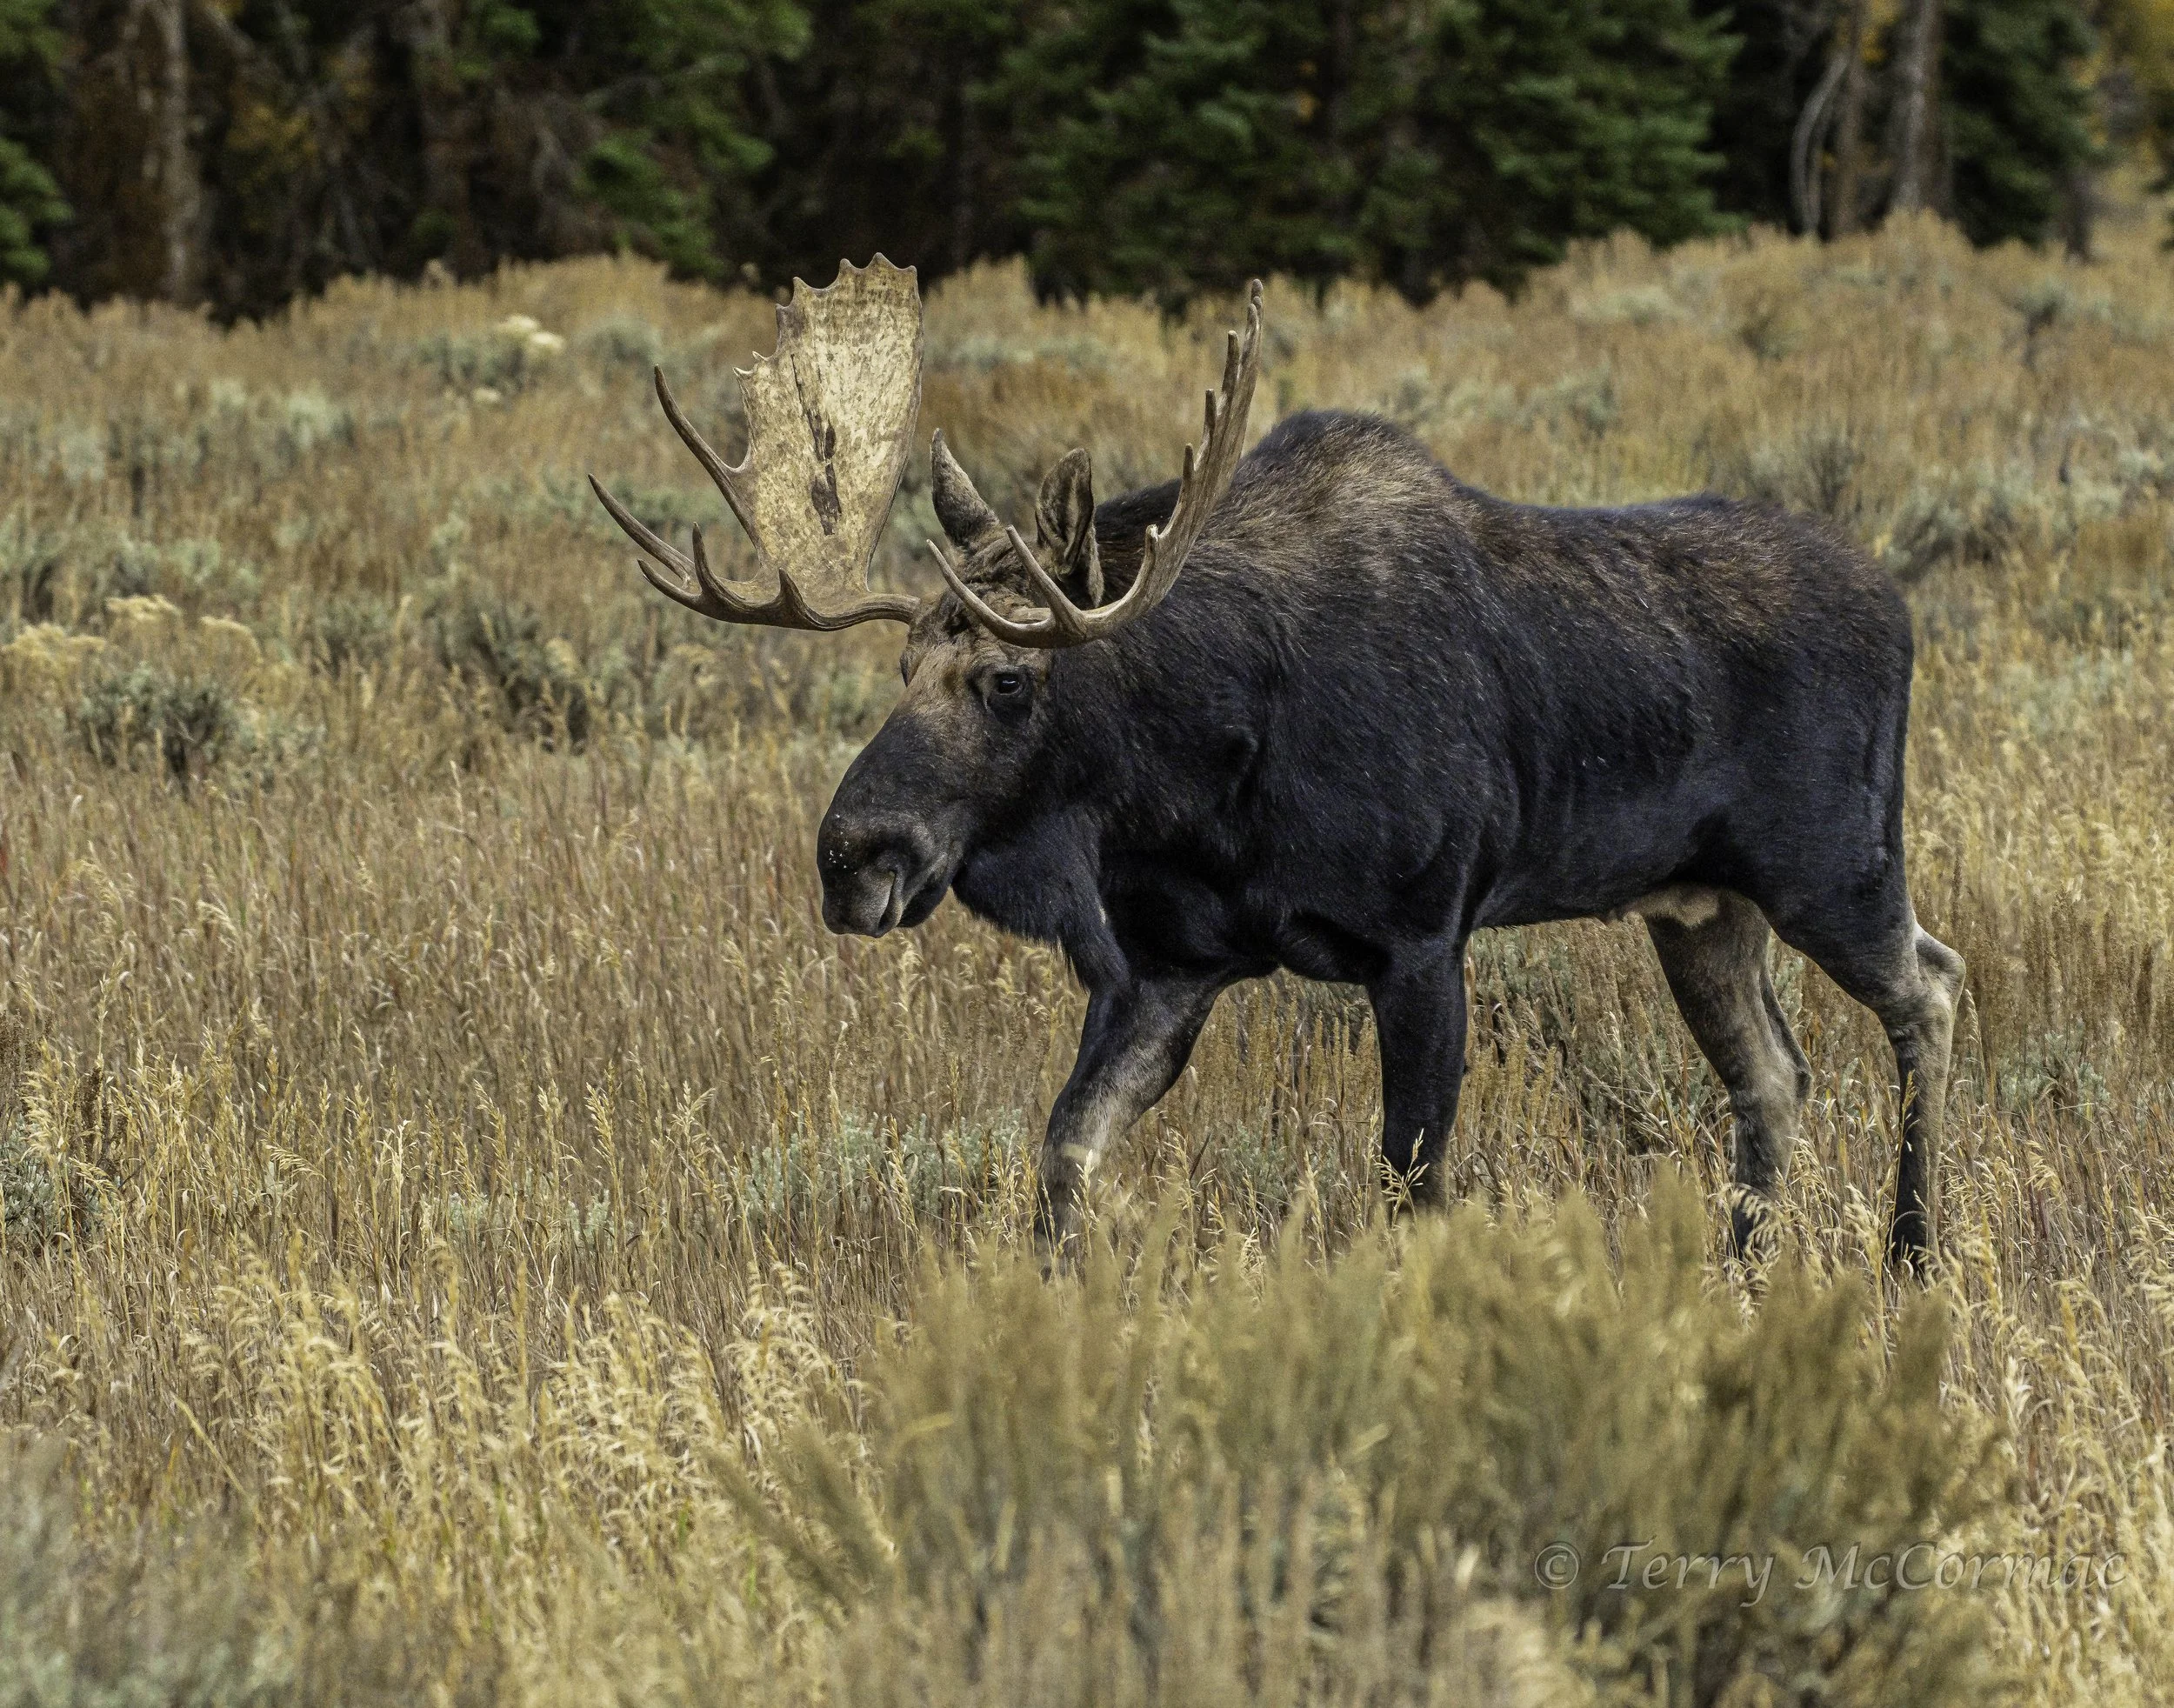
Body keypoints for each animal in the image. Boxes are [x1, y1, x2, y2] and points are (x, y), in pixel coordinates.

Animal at [591, 258, 1964, 1274]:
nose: (852, 856)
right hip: (1698, 908)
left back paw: (1909, 1253)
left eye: (1008, 678)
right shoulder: (1169, 965)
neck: (1200, 783)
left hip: (1833, 868)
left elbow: (1408, 1185)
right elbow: (1063, 1156)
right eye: (898, 667)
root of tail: (1900, 606)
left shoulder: (1422, 940)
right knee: (1775, 1077)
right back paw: (1741, 1276)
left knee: (1932, 988)